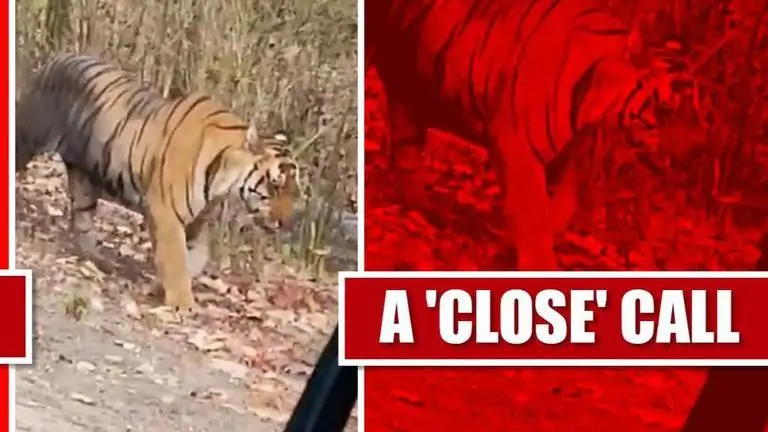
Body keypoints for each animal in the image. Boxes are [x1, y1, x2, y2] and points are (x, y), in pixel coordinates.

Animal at [16, 53, 301, 312]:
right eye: (275, 184)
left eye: (293, 190)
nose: (286, 223)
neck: (223, 178)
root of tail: (57, 58)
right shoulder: (166, 213)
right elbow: (175, 258)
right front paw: (182, 303)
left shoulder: (198, 220)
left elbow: (196, 258)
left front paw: (159, 288)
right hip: (29, 138)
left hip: (84, 176)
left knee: (82, 218)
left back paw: (97, 259)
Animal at [366, 0, 689, 270]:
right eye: (659, 115)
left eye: (673, 111)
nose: (668, 164)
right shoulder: (518, 147)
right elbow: (531, 209)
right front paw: (539, 263)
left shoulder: (568, 154)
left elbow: (561, 205)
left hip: (408, 95)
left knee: (405, 150)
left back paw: (423, 210)